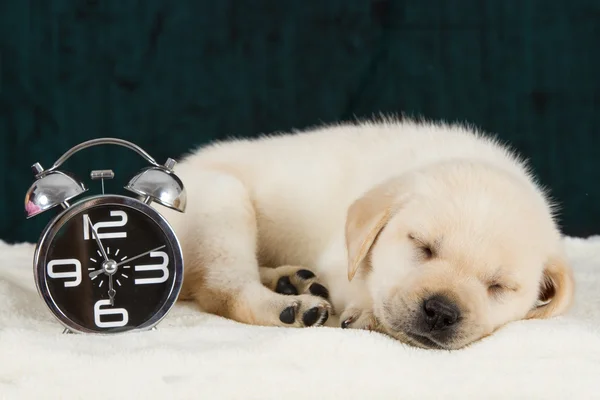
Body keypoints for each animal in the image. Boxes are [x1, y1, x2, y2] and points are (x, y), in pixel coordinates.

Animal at [159, 119, 576, 350]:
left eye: (500, 286)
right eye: (422, 246)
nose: (441, 312)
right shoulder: (339, 258)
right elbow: (365, 285)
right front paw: (368, 314)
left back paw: (290, 280)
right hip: (223, 200)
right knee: (223, 291)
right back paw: (291, 306)